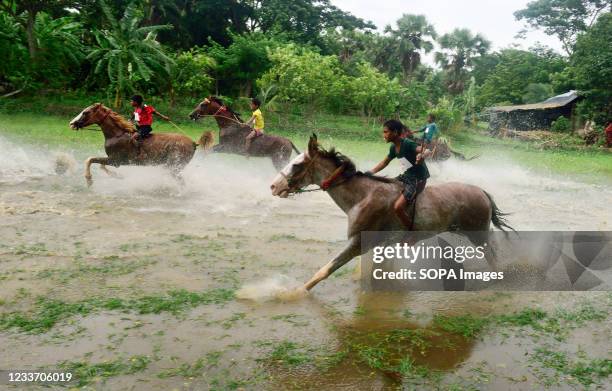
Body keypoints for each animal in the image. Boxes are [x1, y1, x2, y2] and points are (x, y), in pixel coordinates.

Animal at [67, 104, 213, 187]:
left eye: (85, 112)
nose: (72, 123)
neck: (117, 134)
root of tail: (193, 143)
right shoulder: (113, 160)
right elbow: (101, 165)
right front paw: (117, 176)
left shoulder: (115, 160)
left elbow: (91, 159)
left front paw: (89, 179)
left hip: (174, 167)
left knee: (181, 181)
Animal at [270, 136, 512, 294]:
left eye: (297, 164)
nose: (273, 186)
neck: (362, 196)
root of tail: (481, 191)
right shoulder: (382, 244)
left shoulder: (358, 244)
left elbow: (325, 270)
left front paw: (293, 294)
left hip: (478, 234)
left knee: (492, 255)